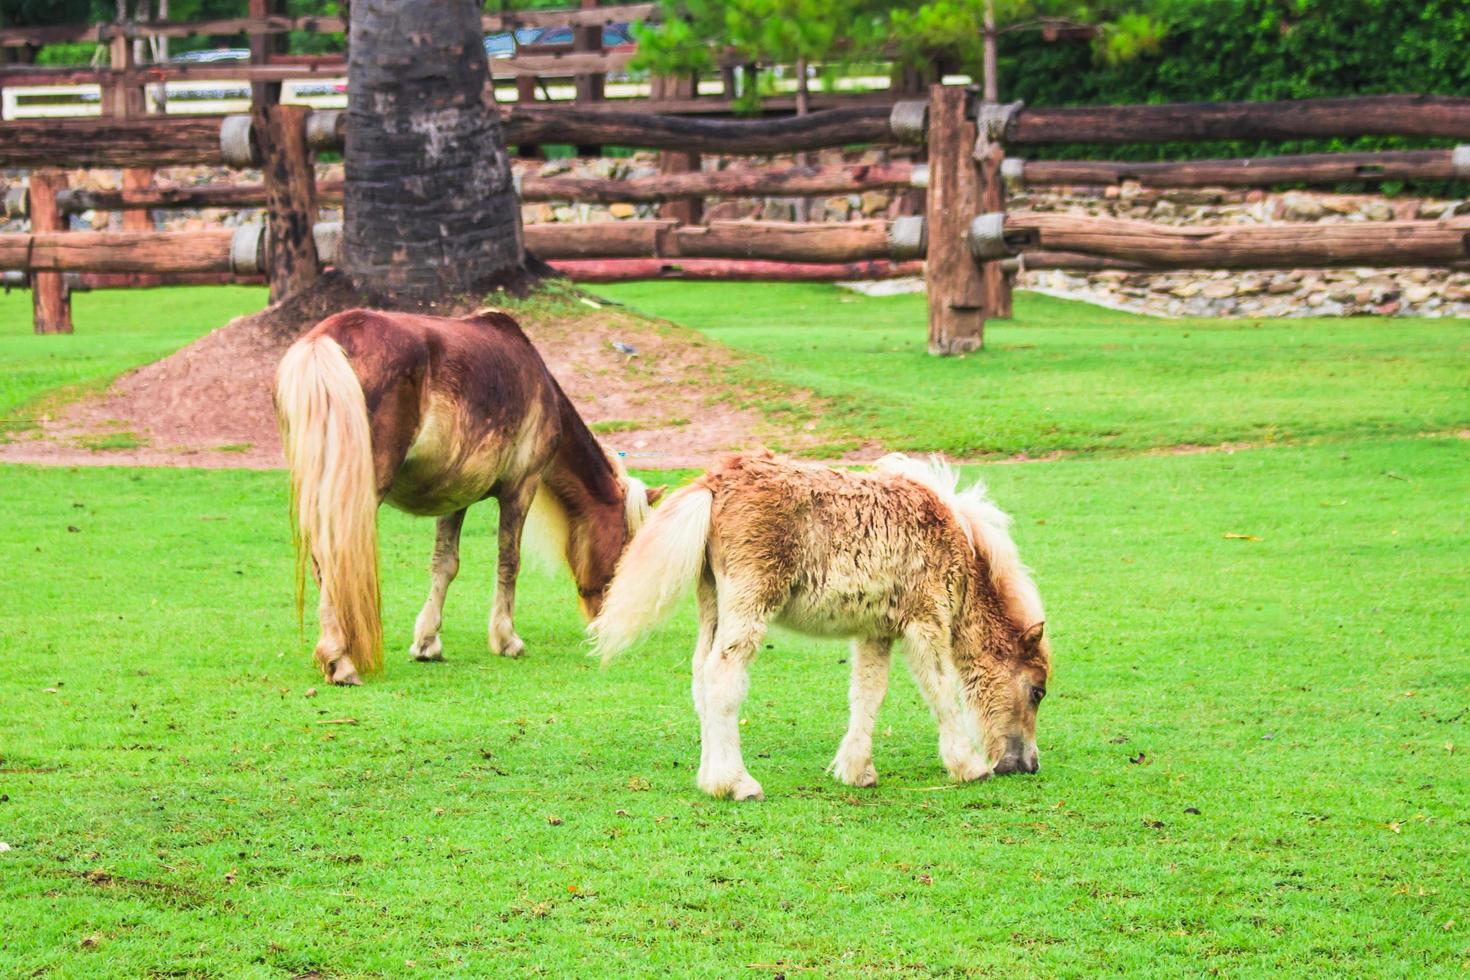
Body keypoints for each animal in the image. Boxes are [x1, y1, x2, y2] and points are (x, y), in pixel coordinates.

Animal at [274, 310, 661, 687]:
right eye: (627, 546)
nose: (602, 621)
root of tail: (322, 342)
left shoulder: (454, 497)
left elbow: (444, 563)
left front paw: (427, 642)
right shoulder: (521, 487)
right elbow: (509, 561)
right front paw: (506, 639)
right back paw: (340, 660)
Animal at [590, 449, 1052, 799]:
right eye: (1037, 691)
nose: (1028, 765)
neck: (957, 544)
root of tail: (714, 484)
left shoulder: (876, 631)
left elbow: (868, 694)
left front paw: (857, 771)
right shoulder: (926, 621)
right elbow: (940, 690)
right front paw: (969, 766)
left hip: (712, 603)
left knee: (701, 674)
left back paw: (710, 780)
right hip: (750, 600)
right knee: (723, 678)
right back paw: (737, 784)